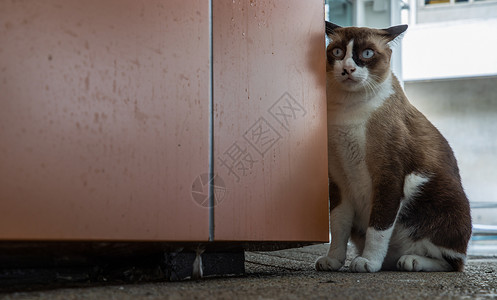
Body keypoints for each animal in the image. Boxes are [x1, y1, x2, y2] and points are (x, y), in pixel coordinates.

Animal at [316, 22, 470, 274]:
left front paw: (368, 262)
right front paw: (334, 261)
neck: (347, 110)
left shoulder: (388, 176)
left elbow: (378, 228)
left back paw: (410, 261)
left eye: (367, 53)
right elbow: (338, 226)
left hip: (434, 195)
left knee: (453, 262)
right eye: (338, 52)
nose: (347, 69)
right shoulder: (338, 180)